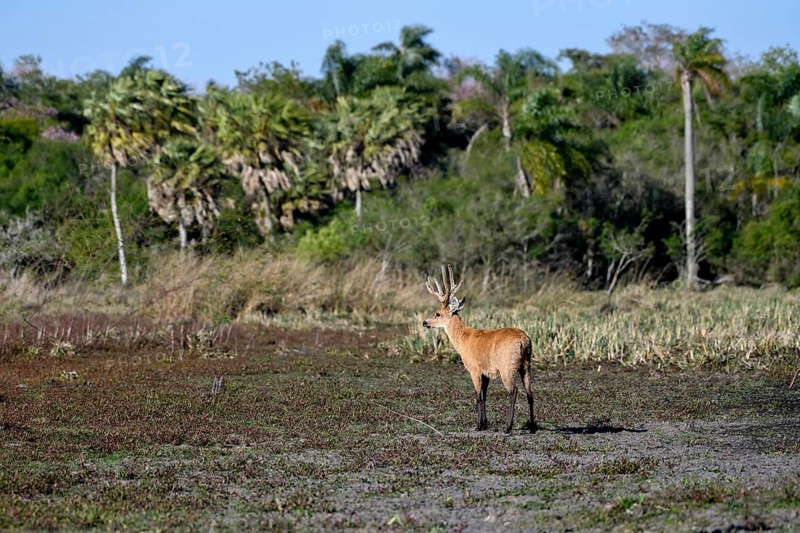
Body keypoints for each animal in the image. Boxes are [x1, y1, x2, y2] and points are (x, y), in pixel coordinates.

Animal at [422, 265, 536, 434]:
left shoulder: (474, 368)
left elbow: (478, 396)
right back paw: (532, 427)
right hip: (527, 365)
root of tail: (524, 341)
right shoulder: (486, 371)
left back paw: (508, 428)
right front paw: (485, 423)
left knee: (514, 391)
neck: (464, 339)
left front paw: (478, 426)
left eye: (437, 313)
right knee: (530, 393)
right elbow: (484, 395)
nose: (424, 322)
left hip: (507, 366)